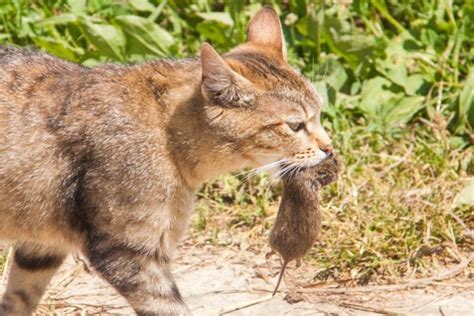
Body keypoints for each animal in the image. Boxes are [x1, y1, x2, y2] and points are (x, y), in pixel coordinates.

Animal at [0, 5, 334, 316]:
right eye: (295, 125)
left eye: (319, 112)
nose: (329, 148)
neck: (165, 132)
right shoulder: (128, 252)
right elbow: (169, 307)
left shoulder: (41, 246)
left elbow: (18, 299)